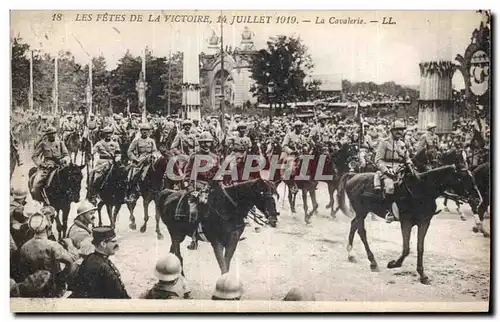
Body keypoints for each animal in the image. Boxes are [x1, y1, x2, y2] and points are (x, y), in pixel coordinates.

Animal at [336, 164, 480, 284]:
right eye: (463, 178)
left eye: (473, 178)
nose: (477, 199)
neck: (421, 189)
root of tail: (353, 175)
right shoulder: (406, 222)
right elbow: (406, 248)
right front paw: (394, 264)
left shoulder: (424, 222)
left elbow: (420, 248)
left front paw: (422, 275)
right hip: (361, 211)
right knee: (361, 231)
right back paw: (373, 262)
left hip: (362, 212)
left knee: (354, 225)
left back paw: (351, 255)